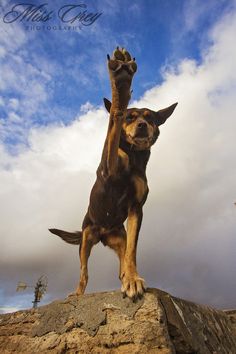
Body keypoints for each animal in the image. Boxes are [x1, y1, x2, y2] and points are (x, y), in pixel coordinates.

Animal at [49, 47, 177, 302]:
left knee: (124, 260)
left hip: (120, 238)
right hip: (86, 239)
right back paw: (77, 293)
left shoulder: (136, 208)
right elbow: (113, 124)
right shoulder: (108, 165)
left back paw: (127, 278)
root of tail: (104, 232)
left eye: (150, 118)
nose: (142, 125)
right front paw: (121, 85)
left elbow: (132, 253)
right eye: (131, 117)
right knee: (84, 273)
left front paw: (133, 280)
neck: (135, 158)